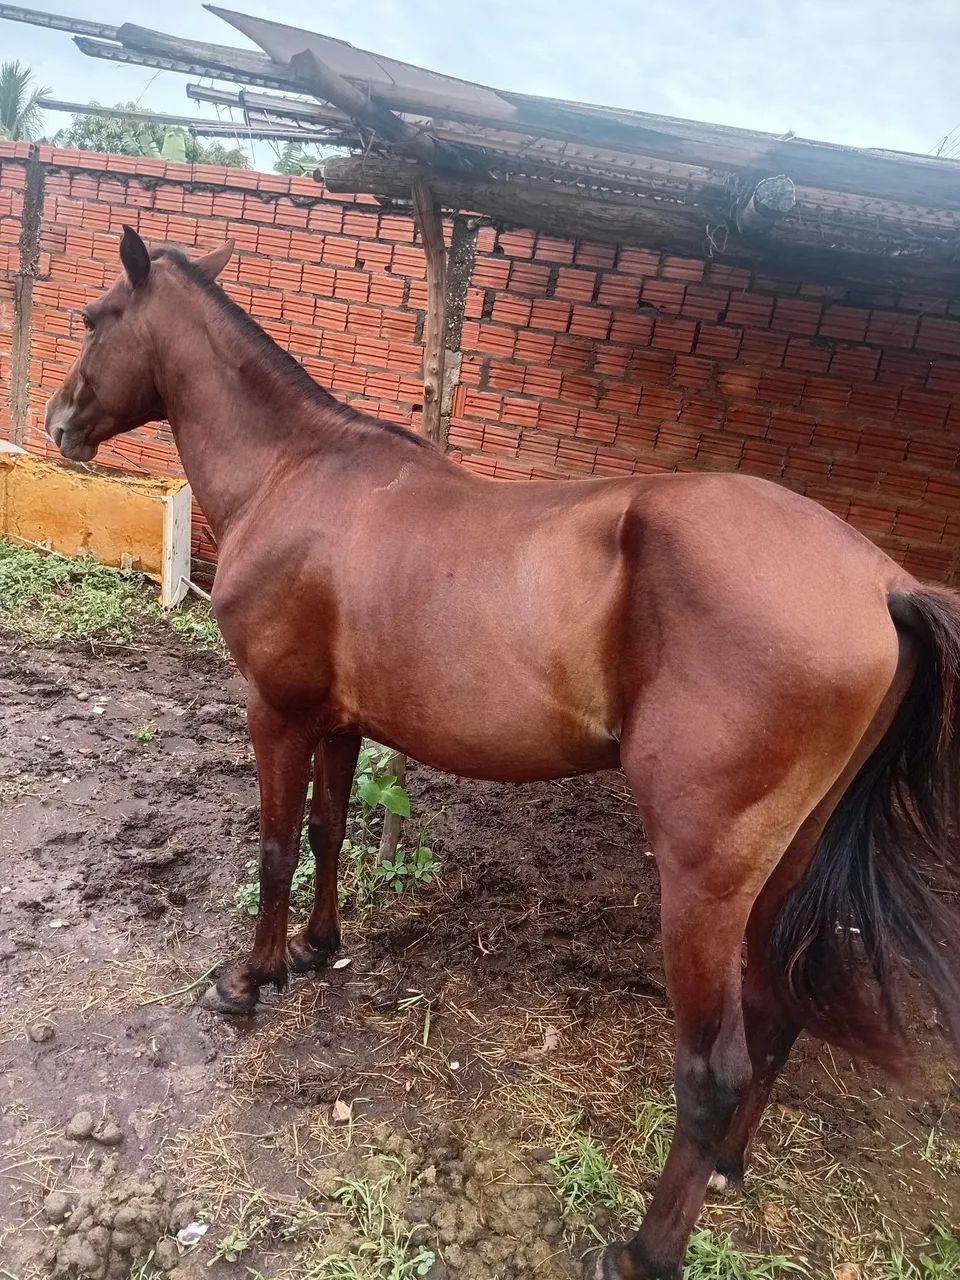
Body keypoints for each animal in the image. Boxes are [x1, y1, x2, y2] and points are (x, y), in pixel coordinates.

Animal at [45, 227, 960, 1280]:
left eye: (97, 317)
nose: (58, 422)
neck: (299, 472)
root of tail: (883, 584)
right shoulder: (339, 723)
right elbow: (326, 834)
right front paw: (316, 950)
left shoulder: (276, 713)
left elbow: (273, 848)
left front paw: (250, 980)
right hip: (787, 865)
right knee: (774, 1022)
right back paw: (728, 1170)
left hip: (704, 879)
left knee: (714, 1069)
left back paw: (643, 1250)